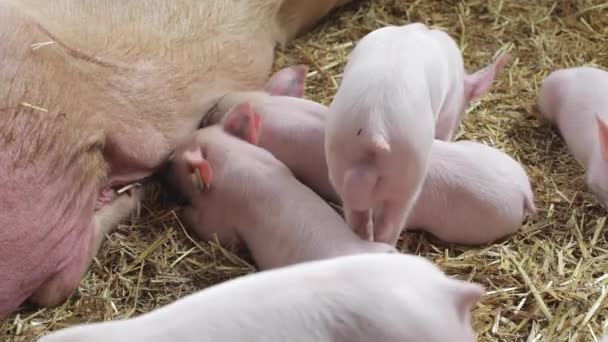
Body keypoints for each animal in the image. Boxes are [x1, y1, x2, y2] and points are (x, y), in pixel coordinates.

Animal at [164, 102, 396, 270]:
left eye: (173, 158)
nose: (163, 169)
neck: (234, 157)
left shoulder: (220, 219)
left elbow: (213, 232)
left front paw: (179, 212)